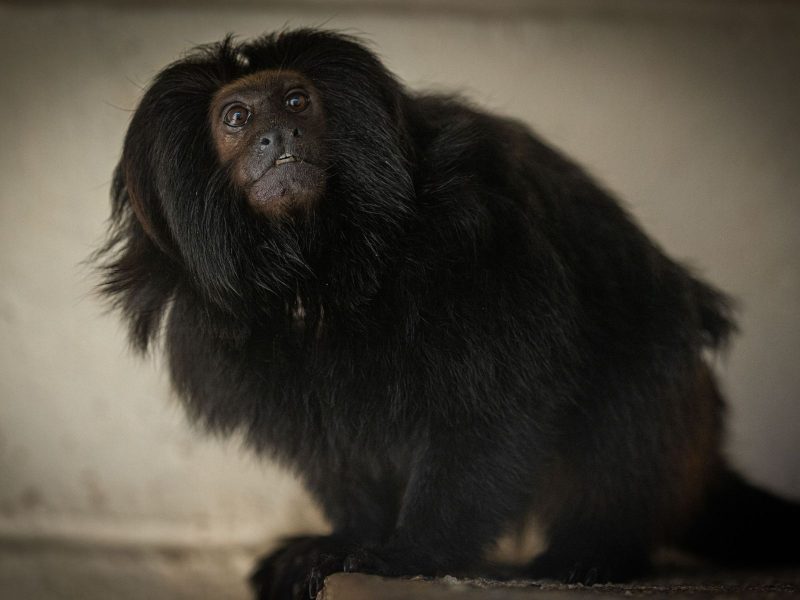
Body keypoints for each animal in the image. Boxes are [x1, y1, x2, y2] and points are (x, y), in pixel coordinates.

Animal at [95, 27, 800, 600]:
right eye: (237, 117)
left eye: (296, 103)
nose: (278, 137)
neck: (323, 264)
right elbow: (331, 443)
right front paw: (342, 540)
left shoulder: (477, 229)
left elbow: (495, 407)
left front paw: (410, 552)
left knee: (634, 383)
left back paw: (598, 548)